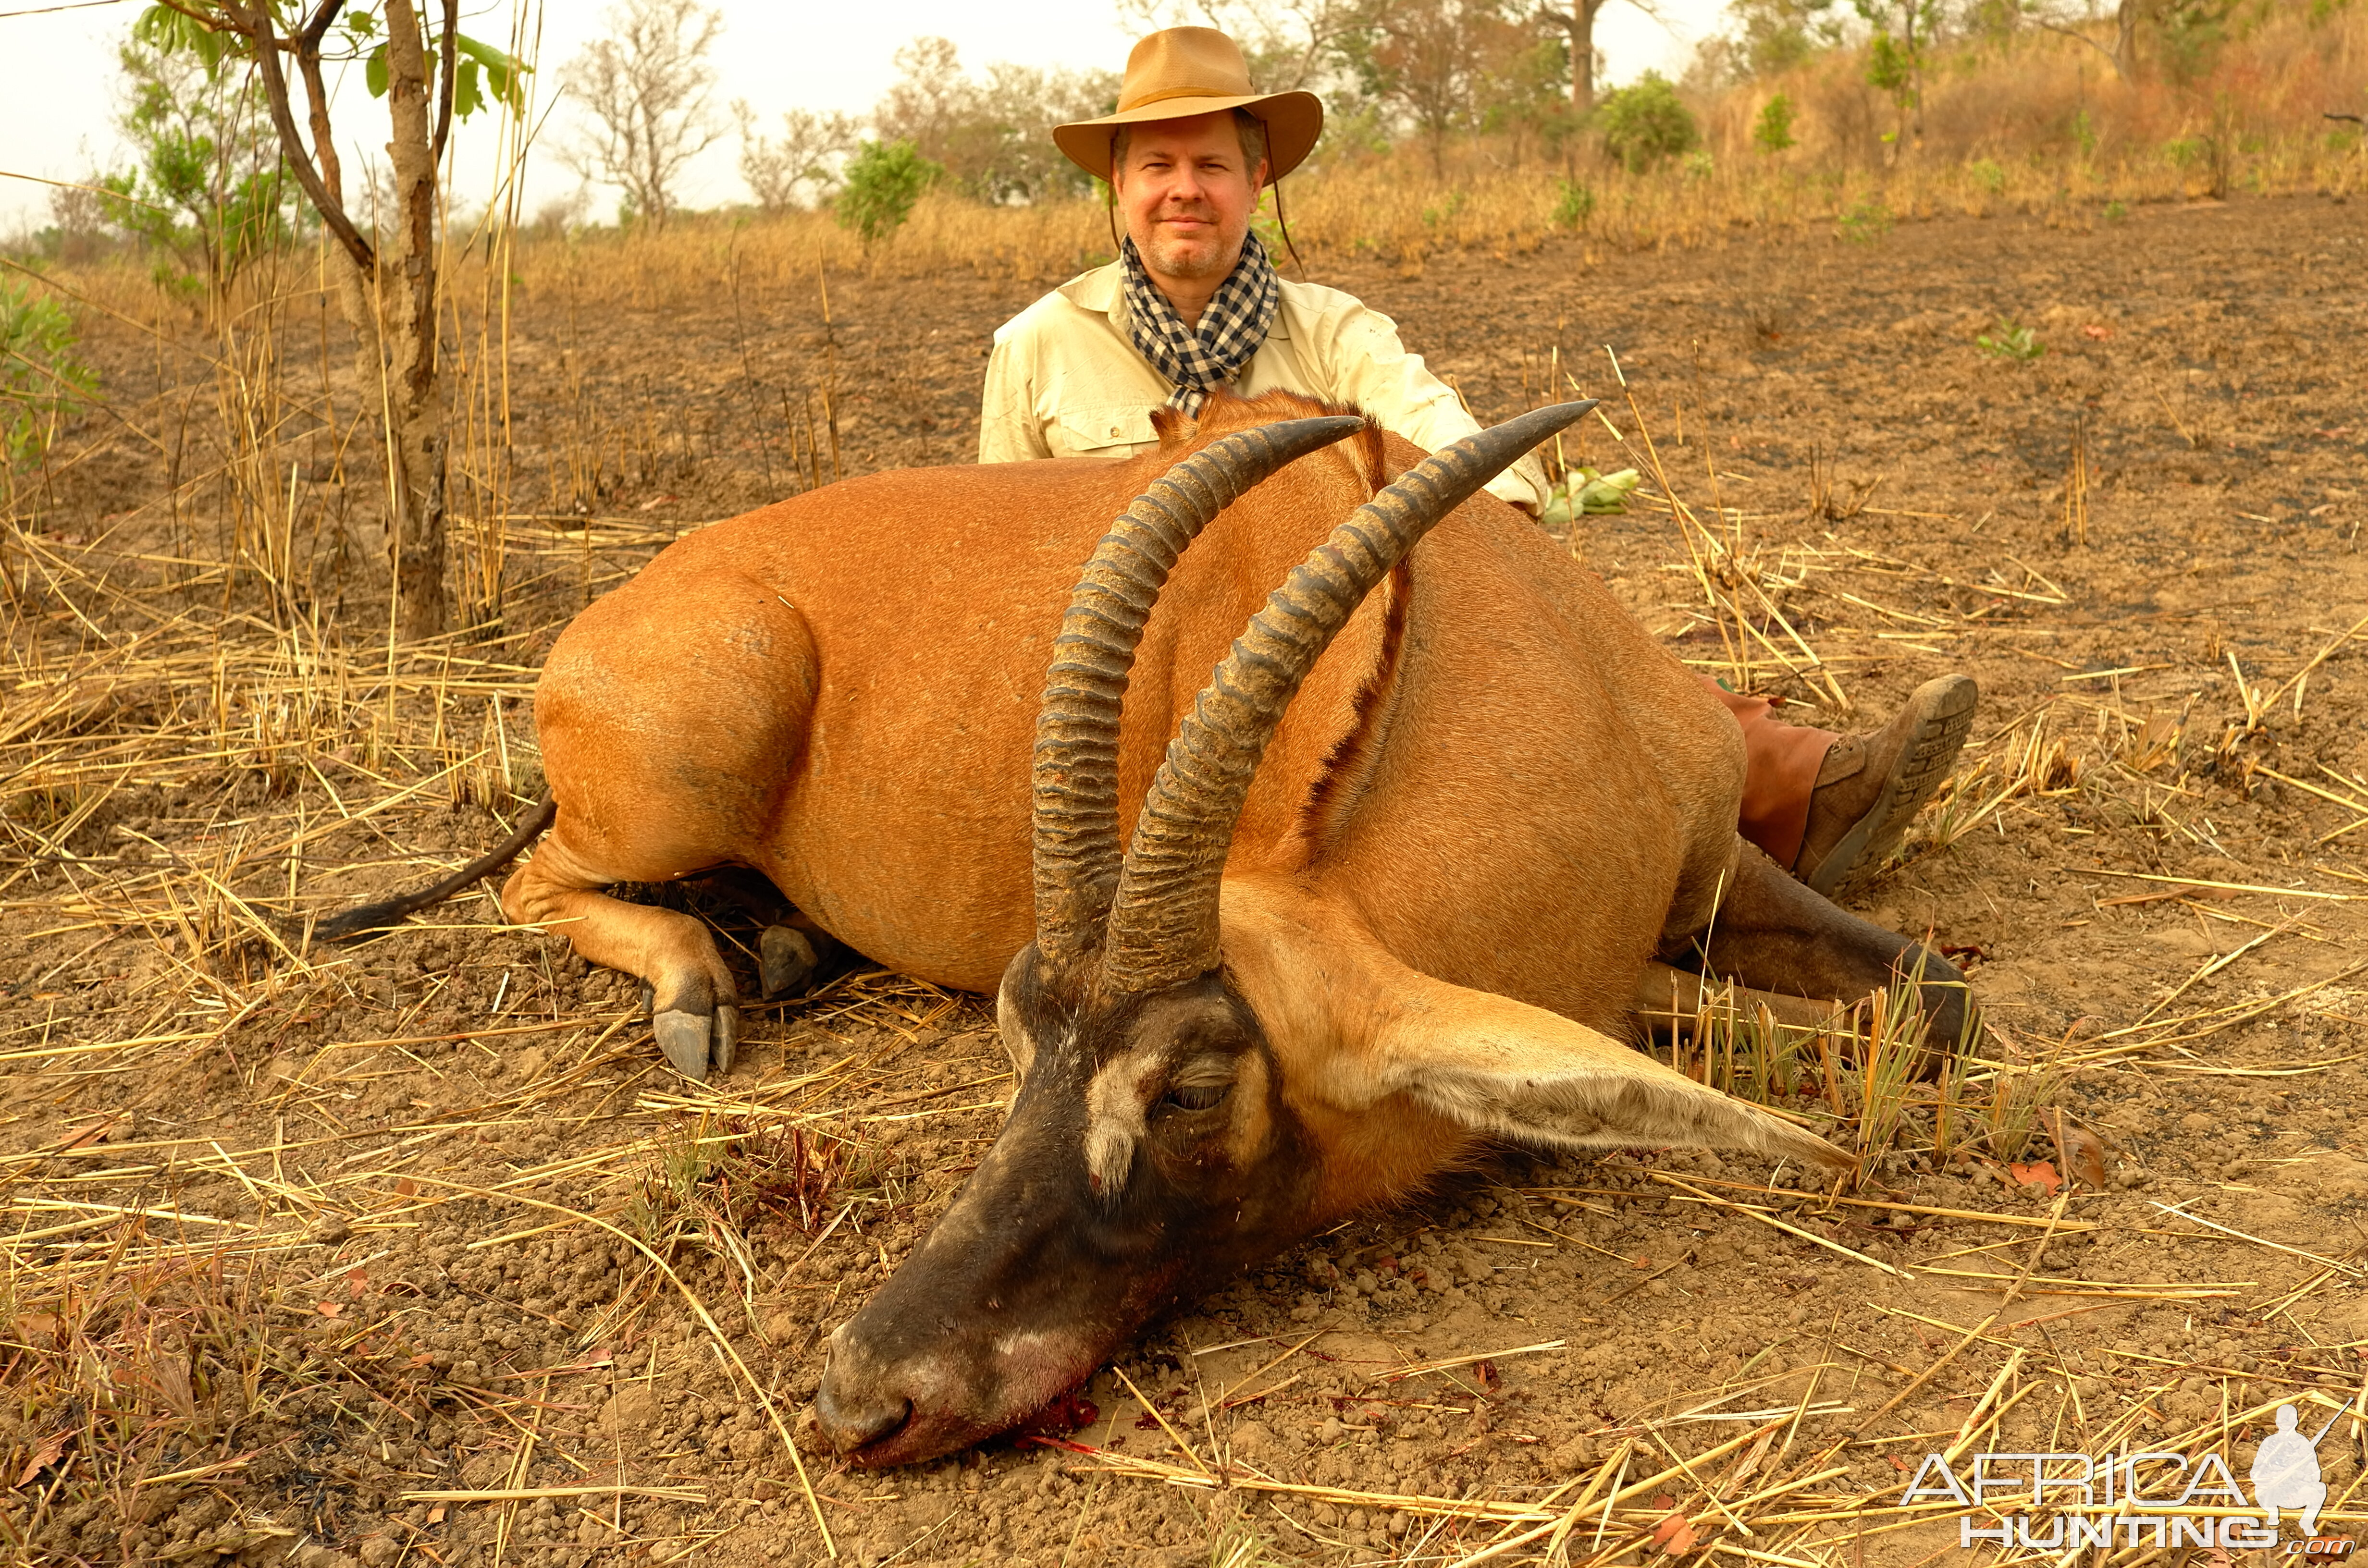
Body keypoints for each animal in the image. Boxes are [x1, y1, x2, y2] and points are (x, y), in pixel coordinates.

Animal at [324, 393, 1970, 1478]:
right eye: (1016, 1037)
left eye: (1187, 1086)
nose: (865, 1397)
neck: (1505, 652)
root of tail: (634, 598)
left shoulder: (1718, 864)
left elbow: (1932, 999)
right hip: (679, 772)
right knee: (533, 877)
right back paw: (701, 982)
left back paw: (774, 945)